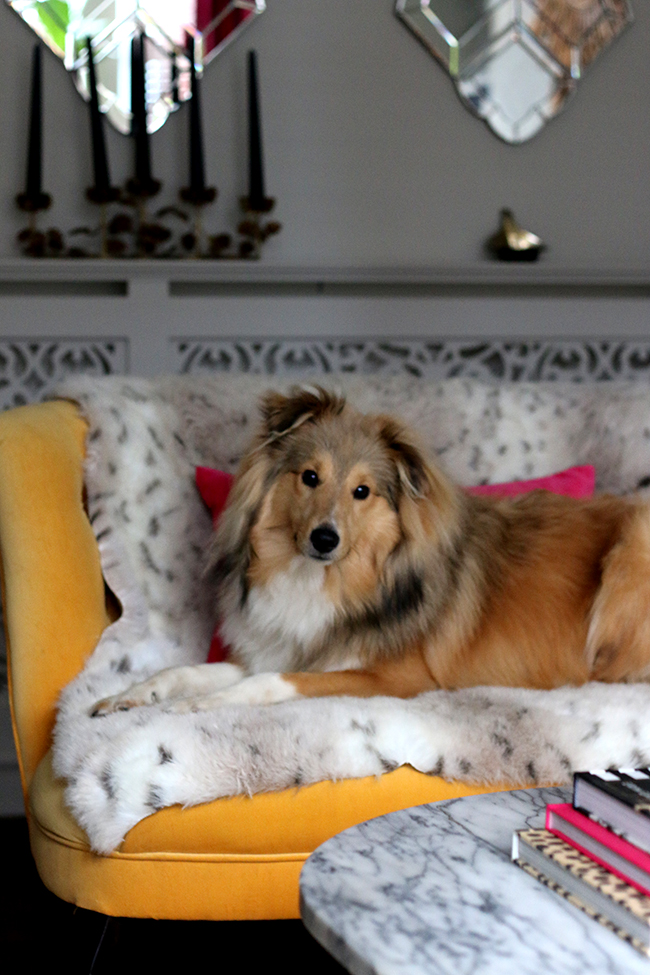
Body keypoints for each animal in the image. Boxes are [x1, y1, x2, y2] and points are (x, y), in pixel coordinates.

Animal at [92, 386, 650, 716]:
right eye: (309, 477)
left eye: (362, 491)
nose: (325, 539)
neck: (326, 581)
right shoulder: (283, 647)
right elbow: (185, 671)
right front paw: (131, 695)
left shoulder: (393, 677)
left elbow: (271, 682)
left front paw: (204, 706)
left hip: (629, 559)